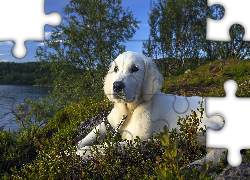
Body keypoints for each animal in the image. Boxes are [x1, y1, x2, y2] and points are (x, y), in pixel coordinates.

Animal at [77, 51, 227, 165]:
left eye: (134, 69)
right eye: (115, 69)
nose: (117, 86)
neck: (129, 110)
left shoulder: (135, 140)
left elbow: (109, 146)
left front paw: (82, 153)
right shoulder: (110, 123)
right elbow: (93, 132)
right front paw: (76, 146)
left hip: (200, 126)